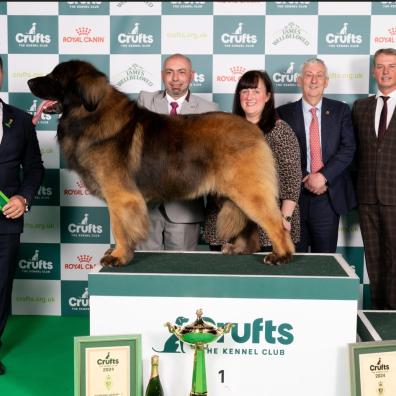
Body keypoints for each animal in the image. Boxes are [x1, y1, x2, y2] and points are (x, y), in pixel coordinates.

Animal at [27, 61, 294, 266]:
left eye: (55, 77)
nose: (29, 82)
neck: (90, 114)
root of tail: (253, 129)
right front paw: (120, 253)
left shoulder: (120, 195)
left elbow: (119, 228)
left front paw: (119, 256)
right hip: (231, 192)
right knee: (249, 222)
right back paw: (241, 249)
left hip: (247, 189)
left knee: (274, 222)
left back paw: (281, 255)